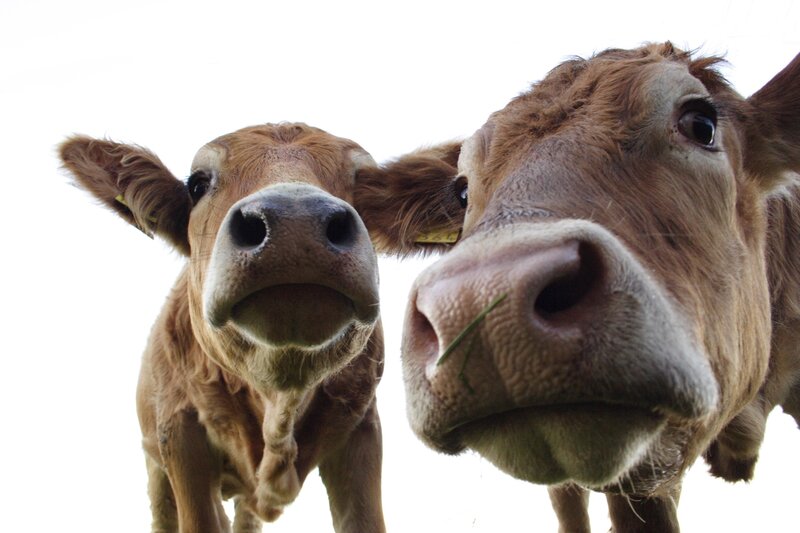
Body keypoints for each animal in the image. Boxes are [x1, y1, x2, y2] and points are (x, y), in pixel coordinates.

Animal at [58, 123, 463, 533]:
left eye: (364, 181)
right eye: (197, 184)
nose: (296, 220)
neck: (279, 396)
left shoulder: (362, 427)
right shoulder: (179, 430)